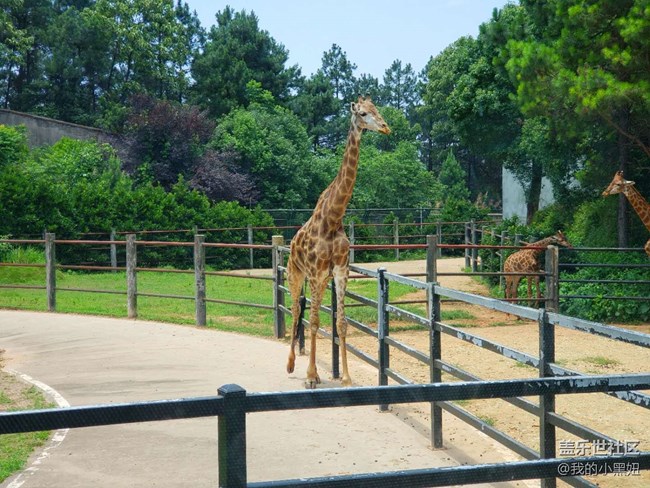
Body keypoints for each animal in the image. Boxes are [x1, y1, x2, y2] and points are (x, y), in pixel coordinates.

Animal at [284, 97, 390, 388]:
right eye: (363, 113)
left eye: (377, 110)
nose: (386, 128)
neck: (333, 217)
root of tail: (291, 243)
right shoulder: (316, 271)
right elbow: (314, 320)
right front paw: (311, 377)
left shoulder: (340, 270)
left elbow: (341, 322)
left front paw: (346, 377)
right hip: (296, 274)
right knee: (296, 310)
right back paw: (291, 365)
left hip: (319, 280)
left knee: (305, 311)